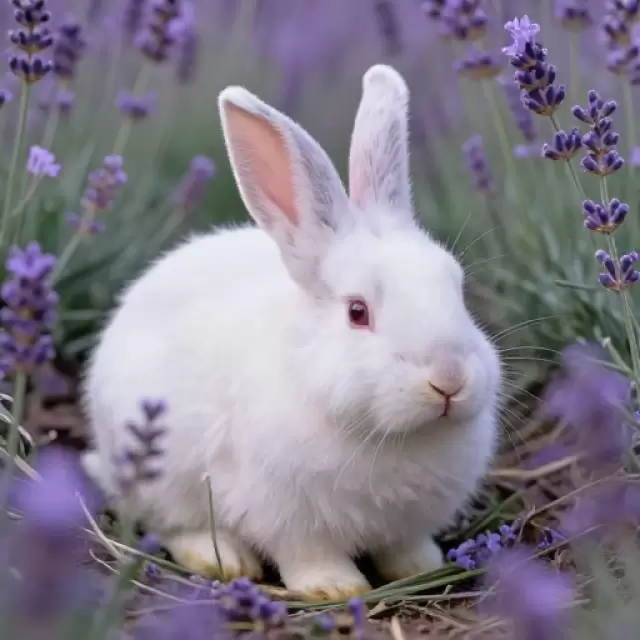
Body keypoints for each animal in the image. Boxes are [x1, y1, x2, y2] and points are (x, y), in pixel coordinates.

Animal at [81, 63, 502, 601]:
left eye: (457, 288)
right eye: (358, 312)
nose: (448, 380)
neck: (388, 436)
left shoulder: (406, 523)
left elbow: (404, 547)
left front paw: (420, 567)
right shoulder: (286, 516)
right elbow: (307, 555)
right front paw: (335, 589)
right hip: (161, 471)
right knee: (172, 525)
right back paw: (223, 560)